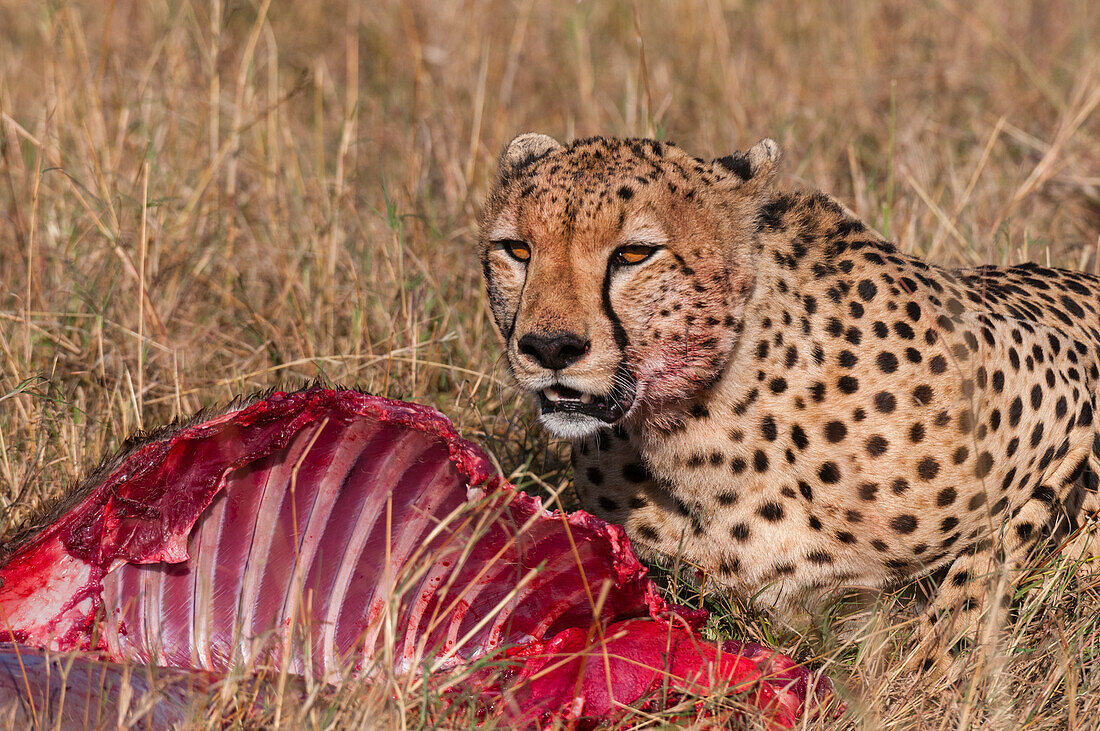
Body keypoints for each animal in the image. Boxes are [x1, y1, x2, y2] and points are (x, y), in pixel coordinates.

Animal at [477, 132, 1100, 668]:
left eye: (634, 254)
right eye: (516, 249)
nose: (549, 346)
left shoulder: (1070, 395)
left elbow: (981, 569)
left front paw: (930, 672)